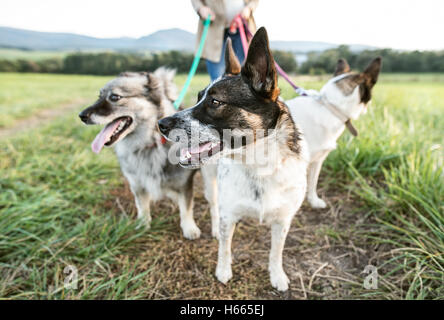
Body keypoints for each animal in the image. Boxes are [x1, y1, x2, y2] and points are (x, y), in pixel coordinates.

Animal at [159, 28, 308, 292]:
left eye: (215, 102)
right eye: (199, 97)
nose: (161, 124)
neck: (260, 166)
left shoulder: (283, 221)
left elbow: (276, 252)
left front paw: (277, 275)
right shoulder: (229, 216)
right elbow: (225, 248)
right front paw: (223, 271)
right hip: (211, 183)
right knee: (214, 206)